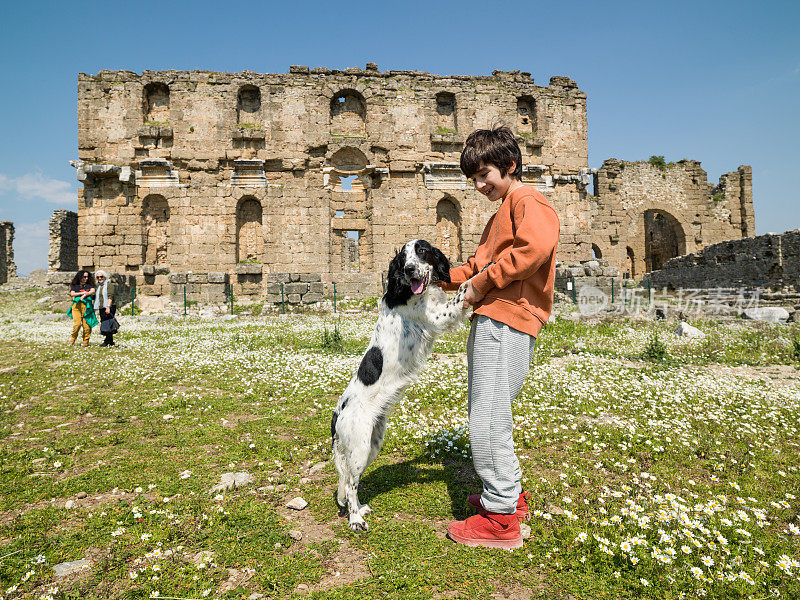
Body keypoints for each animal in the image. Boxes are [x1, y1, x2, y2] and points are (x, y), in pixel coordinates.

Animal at [332, 239, 468, 528]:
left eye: (422, 251)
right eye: (402, 258)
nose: (409, 269)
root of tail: (337, 415)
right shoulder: (438, 316)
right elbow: (462, 292)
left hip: (372, 445)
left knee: (352, 483)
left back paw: (360, 509)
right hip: (359, 447)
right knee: (349, 485)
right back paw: (355, 520)